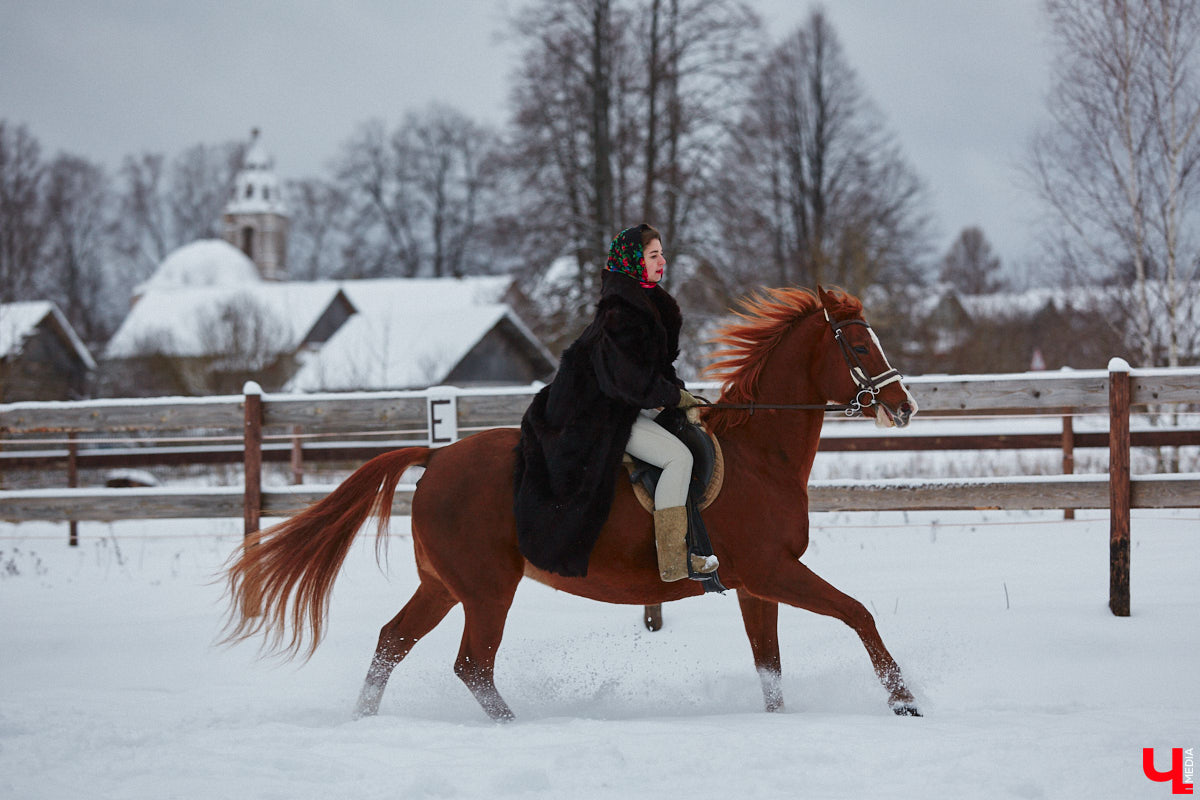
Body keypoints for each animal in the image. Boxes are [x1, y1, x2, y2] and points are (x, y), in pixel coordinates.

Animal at [223, 286, 916, 719]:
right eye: (858, 346)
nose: (903, 406)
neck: (760, 456)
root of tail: (437, 457)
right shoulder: (774, 570)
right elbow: (858, 613)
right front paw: (903, 700)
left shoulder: (756, 584)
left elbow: (769, 666)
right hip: (487, 589)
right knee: (472, 665)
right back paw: (513, 725)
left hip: (443, 584)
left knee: (394, 641)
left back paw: (364, 719)